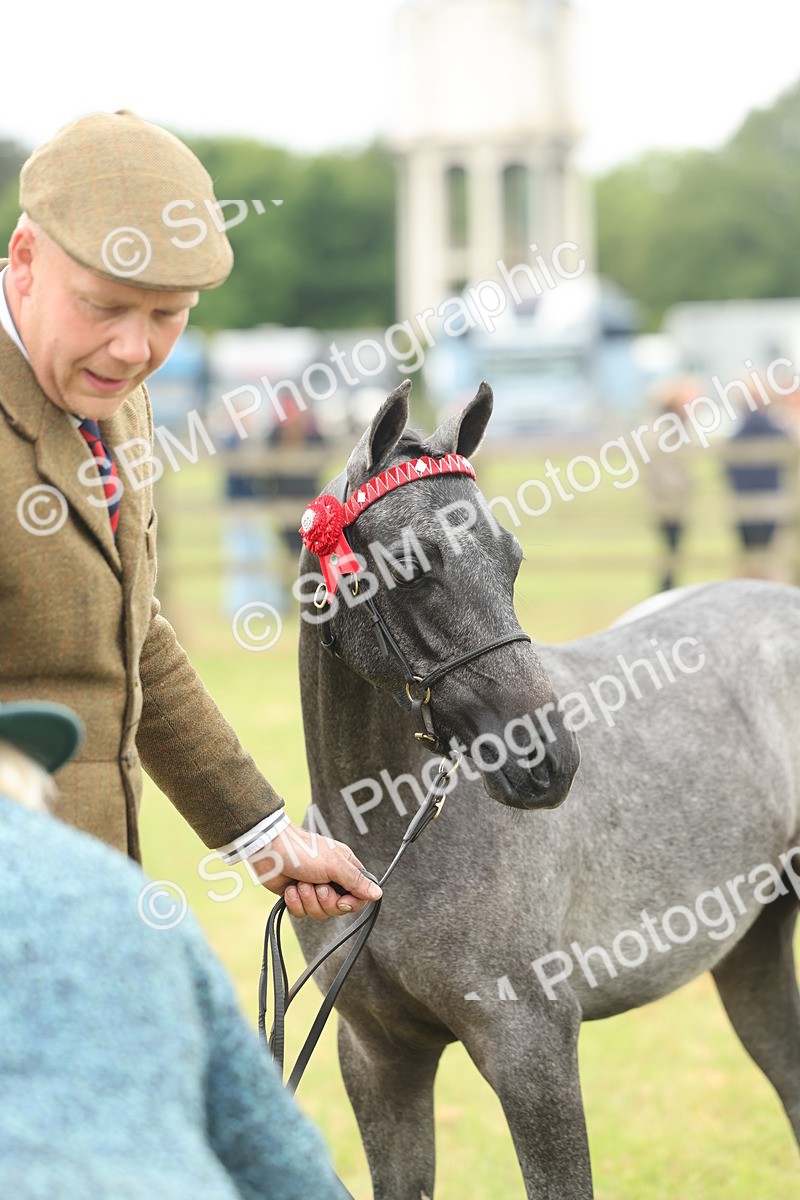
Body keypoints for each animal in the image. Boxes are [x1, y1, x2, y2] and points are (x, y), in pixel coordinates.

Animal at [292, 380, 800, 1199]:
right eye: (415, 565)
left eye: (511, 561)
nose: (547, 759)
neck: (389, 844)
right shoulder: (380, 1058)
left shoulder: (532, 1051)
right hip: (752, 950)